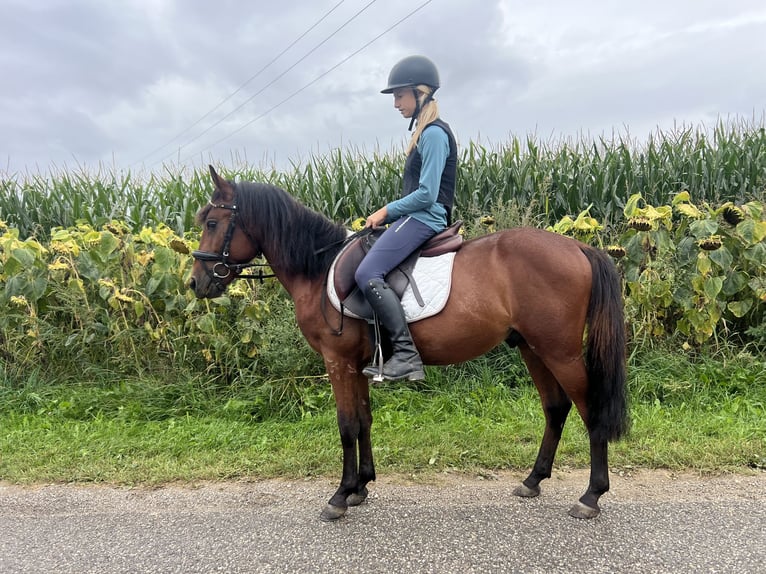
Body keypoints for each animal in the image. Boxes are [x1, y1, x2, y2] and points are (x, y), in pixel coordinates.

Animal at [189, 166, 629, 521]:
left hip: (559, 351)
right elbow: (364, 420)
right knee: (556, 408)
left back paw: (591, 496)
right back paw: (533, 480)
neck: (319, 268)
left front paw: (339, 496)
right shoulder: (360, 364)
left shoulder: (338, 361)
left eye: (211, 222)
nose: (195, 283)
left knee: (590, 411)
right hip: (531, 348)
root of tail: (578, 246)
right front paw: (361, 486)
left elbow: (346, 425)